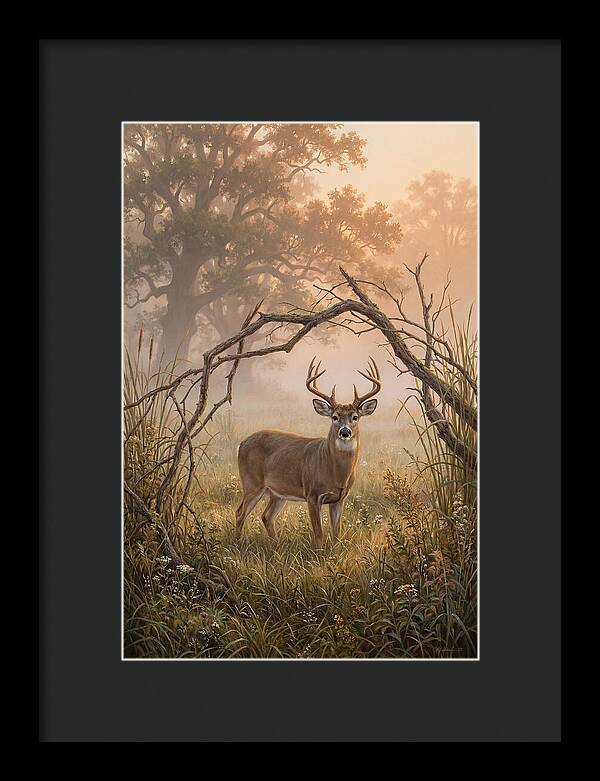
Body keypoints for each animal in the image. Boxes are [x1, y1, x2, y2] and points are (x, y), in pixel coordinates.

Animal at [235, 357, 382, 548]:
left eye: (355, 417)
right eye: (334, 417)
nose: (345, 431)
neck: (335, 473)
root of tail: (242, 443)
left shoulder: (340, 498)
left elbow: (336, 534)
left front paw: (335, 552)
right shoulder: (312, 494)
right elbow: (319, 534)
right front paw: (318, 555)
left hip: (277, 492)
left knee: (266, 516)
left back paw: (276, 547)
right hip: (252, 482)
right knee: (240, 513)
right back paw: (237, 545)